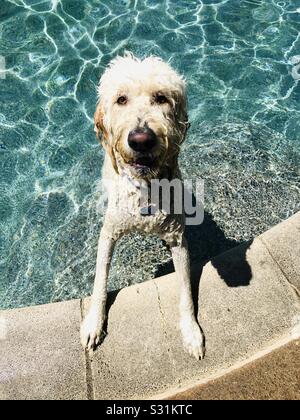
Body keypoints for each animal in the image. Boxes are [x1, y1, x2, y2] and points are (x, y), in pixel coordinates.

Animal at [81, 54, 205, 360]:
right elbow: (100, 280)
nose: (141, 139)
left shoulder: (178, 239)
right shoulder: (109, 234)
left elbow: (186, 291)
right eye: (121, 99)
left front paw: (191, 330)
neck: (145, 189)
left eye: (161, 98)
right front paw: (93, 322)